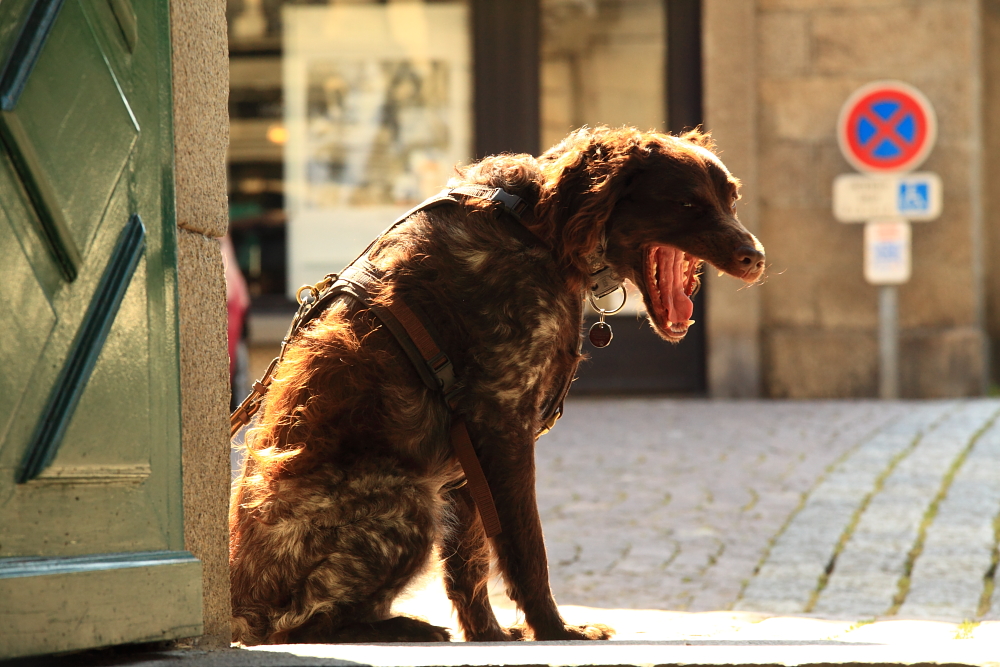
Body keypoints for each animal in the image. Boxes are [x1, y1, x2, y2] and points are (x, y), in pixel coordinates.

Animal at [230, 125, 764, 640]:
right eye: (687, 203)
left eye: (732, 200)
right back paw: (403, 628)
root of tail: (239, 606)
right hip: (408, 500)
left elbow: (471, 563)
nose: (756, 258)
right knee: (296, 625)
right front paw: (554, 630)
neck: (536, 224)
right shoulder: (501, 420)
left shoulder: (467, 462)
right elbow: (525, 547)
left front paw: (488, 635)